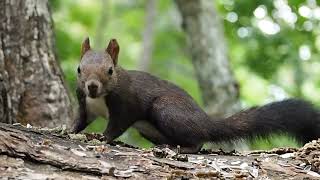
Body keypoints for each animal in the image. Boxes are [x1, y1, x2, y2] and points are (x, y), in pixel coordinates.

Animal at [72, 37, 320, 153]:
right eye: (79, 69)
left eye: (110, 71)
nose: (92, 86)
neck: (98, 99)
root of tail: (205, 121)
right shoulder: (85, 105)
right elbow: (80, 121)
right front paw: (69, 130)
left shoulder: (126, 103)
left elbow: (117, 125)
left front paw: (102, 137)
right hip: (151, 129)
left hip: (167, 111)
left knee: (198, 141)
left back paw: (182, 148)